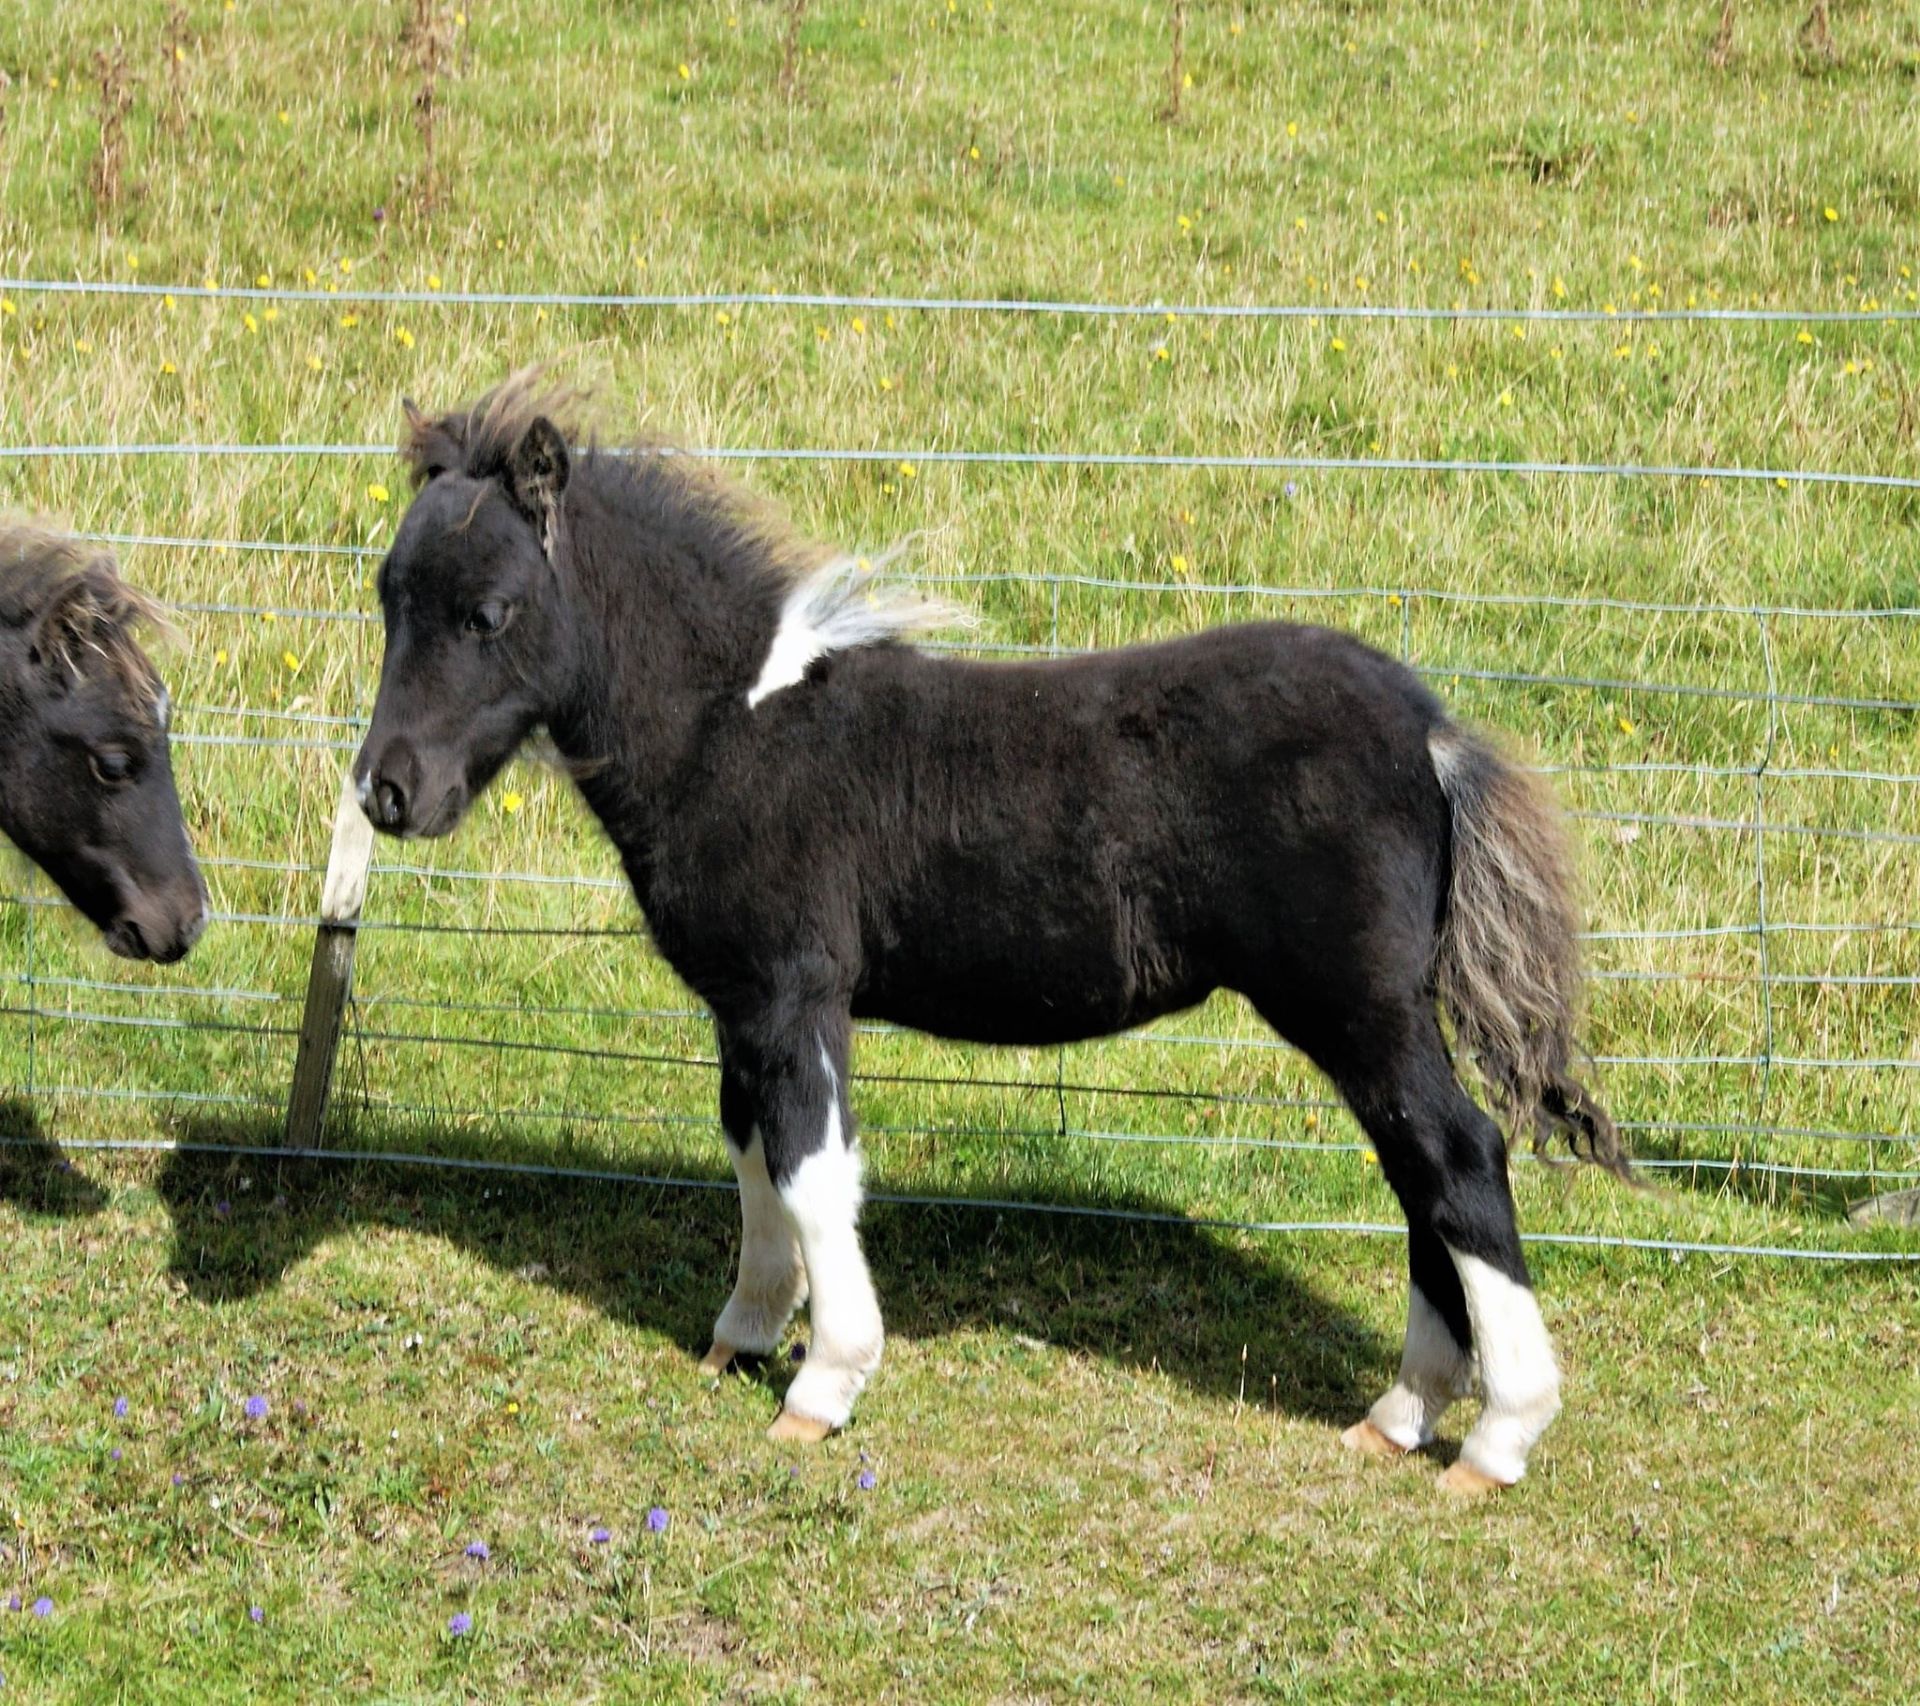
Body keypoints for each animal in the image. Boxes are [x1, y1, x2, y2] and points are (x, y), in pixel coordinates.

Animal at [349, 381, 1620, 1489]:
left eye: (488, 613)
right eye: (387, 598)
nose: (385, 792)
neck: (732, 732)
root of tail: (1430, 732)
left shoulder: (797, 995)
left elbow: (813, 1168)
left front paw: (824, 1384)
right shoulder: (741, 1003)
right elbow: (752, 1154)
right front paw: (743, 1333)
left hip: (1359, 1006)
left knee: (1459, 1160)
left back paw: (1497, 1438)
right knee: (1419, 1174)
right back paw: (1399, 1415)